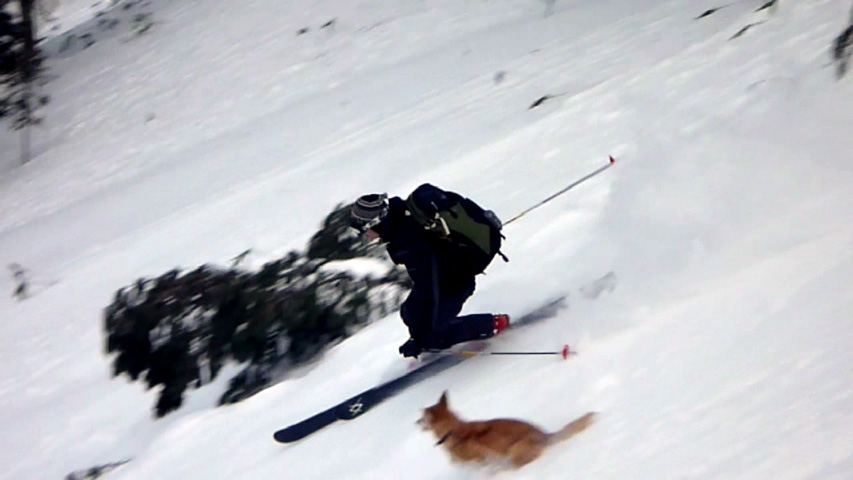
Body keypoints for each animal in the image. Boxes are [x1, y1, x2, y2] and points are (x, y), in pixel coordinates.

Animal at [418, 391, 596, 468]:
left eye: (422, 419)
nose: (415, 422)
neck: (451, 430)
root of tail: (544, 436)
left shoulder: (480, 461)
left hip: (514, 452)